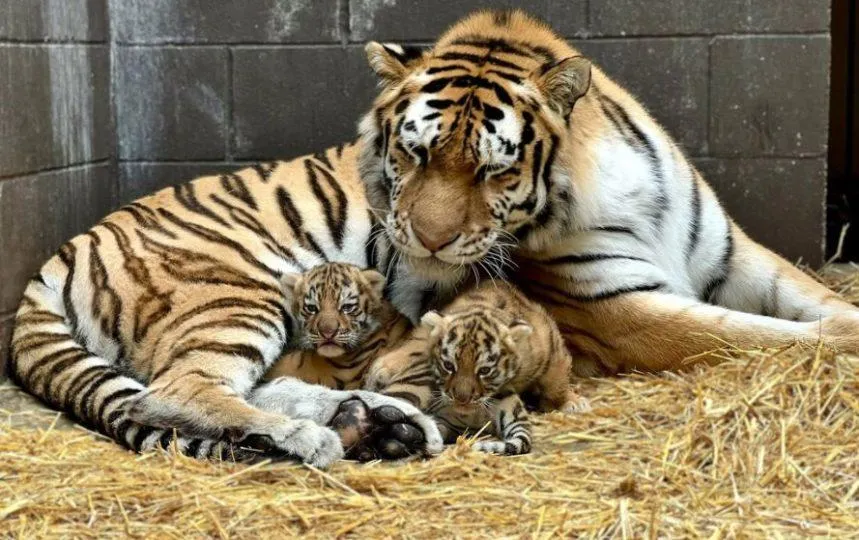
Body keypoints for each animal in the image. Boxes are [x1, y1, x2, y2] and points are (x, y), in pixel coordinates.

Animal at [356, 9, 859, 376]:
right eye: (415, 153)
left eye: (493, 170)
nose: (430, 241)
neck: (614, 181)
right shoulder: (616, 308)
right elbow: (750, 334)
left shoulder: (734, 256)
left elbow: (817, 300)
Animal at [365, 281, 591, 456]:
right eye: (448, 366)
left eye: (484, 371)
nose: (461, 400)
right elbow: (417, 343)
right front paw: (382, 370)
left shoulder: (551, 344)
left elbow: (556, 380)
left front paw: (570, 402)